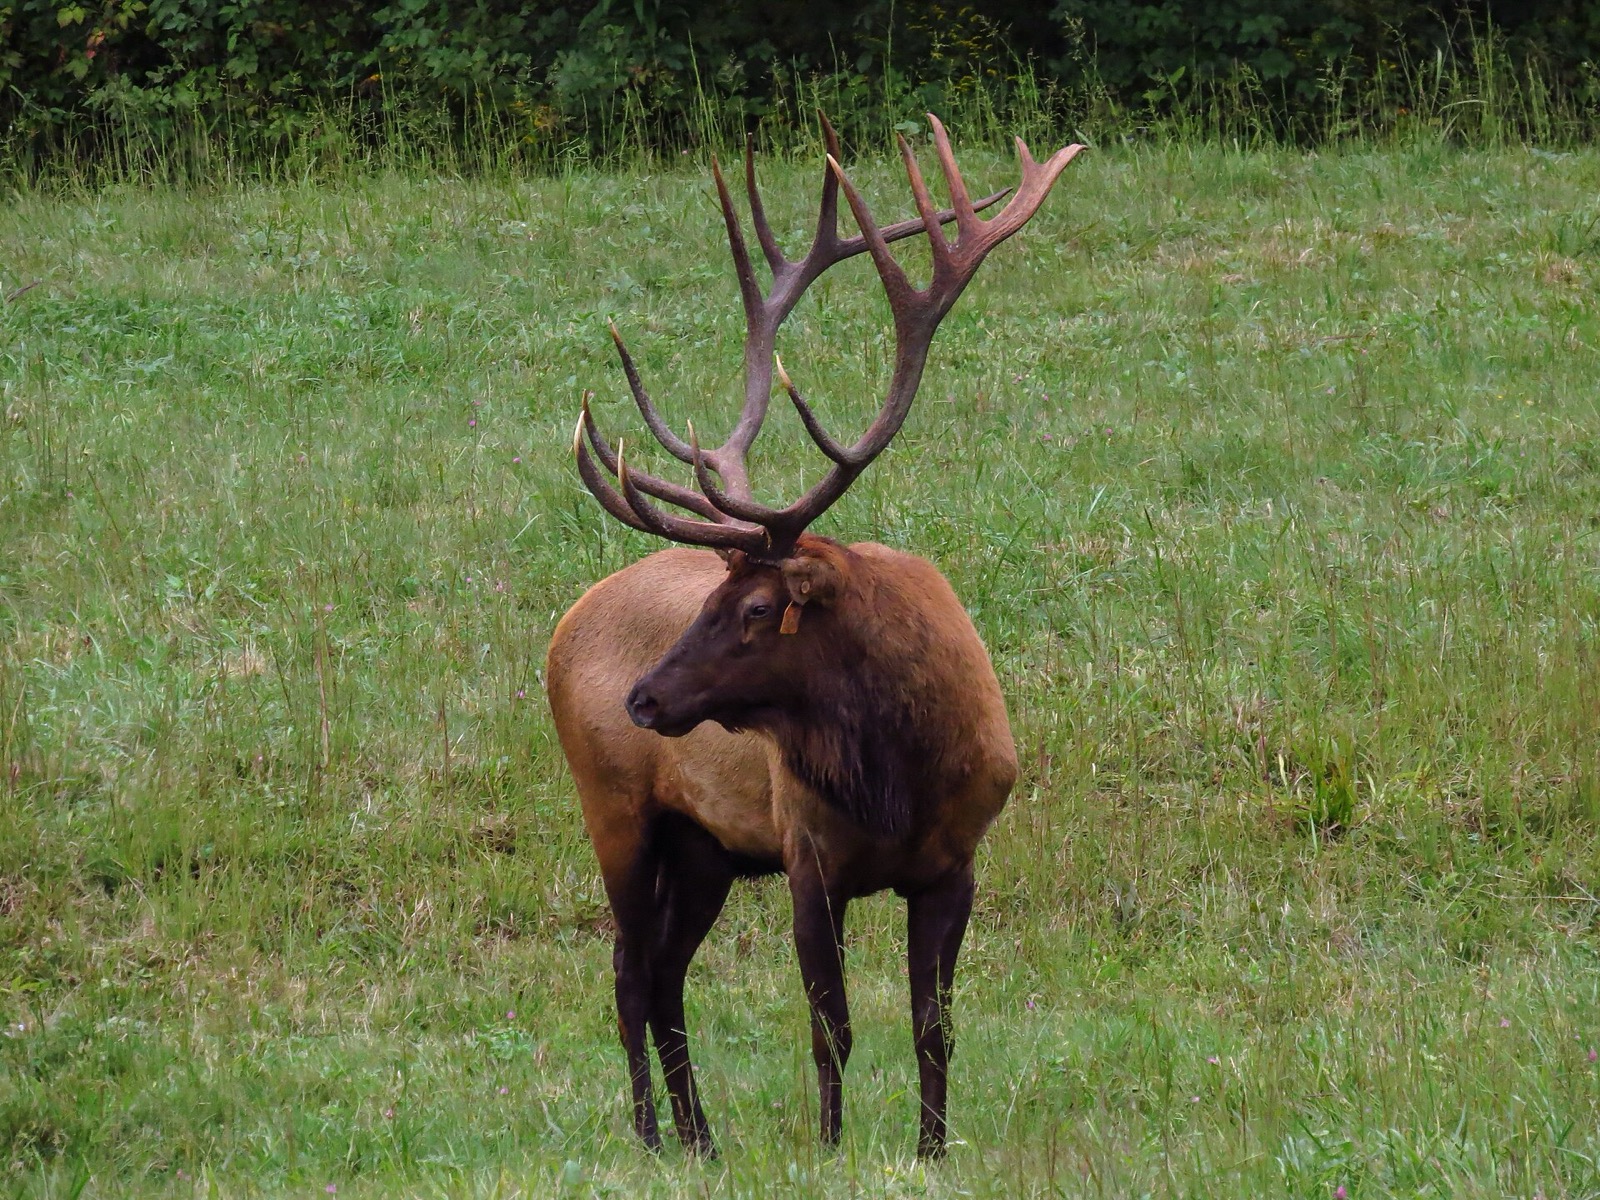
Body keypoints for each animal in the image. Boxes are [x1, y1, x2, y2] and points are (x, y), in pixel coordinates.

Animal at [545, 114, 1082, 1158]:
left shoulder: (955, 860)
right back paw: (652, 1138)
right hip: (616, 808)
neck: (899, 774)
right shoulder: (807, 855)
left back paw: (703, 1141)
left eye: (757, 608)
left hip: (705, 847)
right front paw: (831, 1147)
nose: (644, 697)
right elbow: (829, 1023)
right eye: (715, 597)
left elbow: (933, 1024)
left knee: (663, 974)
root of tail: (565, 623)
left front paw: (931, 1151)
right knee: (628, 970)